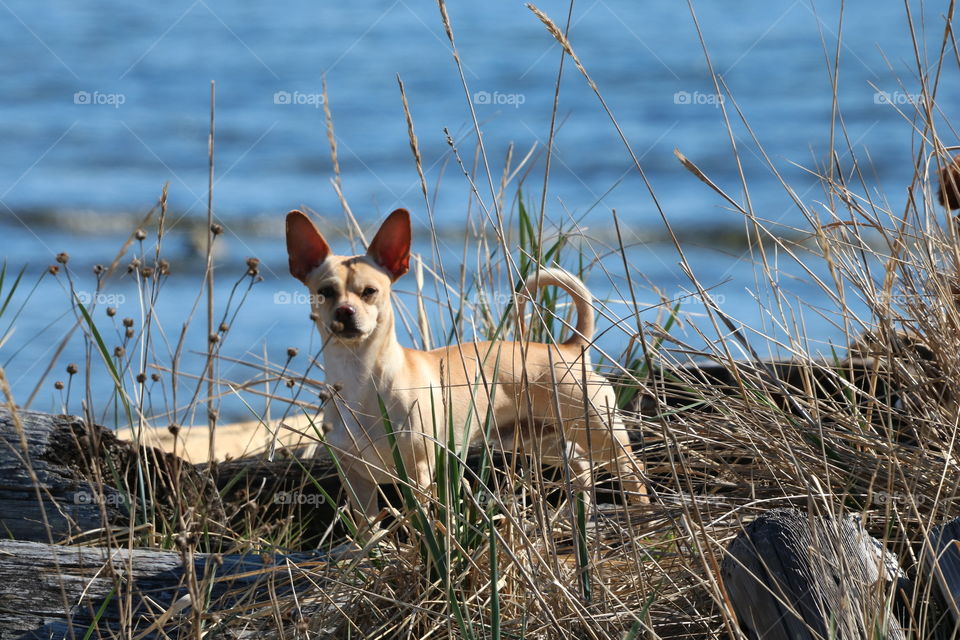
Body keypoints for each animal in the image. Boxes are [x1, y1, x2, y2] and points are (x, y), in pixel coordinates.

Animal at [284, 208, 644, 516]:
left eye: (370, 292)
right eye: (326, 292)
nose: (345, 311)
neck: (360, 373)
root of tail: (570, 348)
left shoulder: (419, 474)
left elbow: (422, 523)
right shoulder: (357, 481)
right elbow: (367, 530)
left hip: (598, 432)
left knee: (631, 471)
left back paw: (640, 510)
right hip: (536, 439)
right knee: (580, 466)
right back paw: (576, 516)